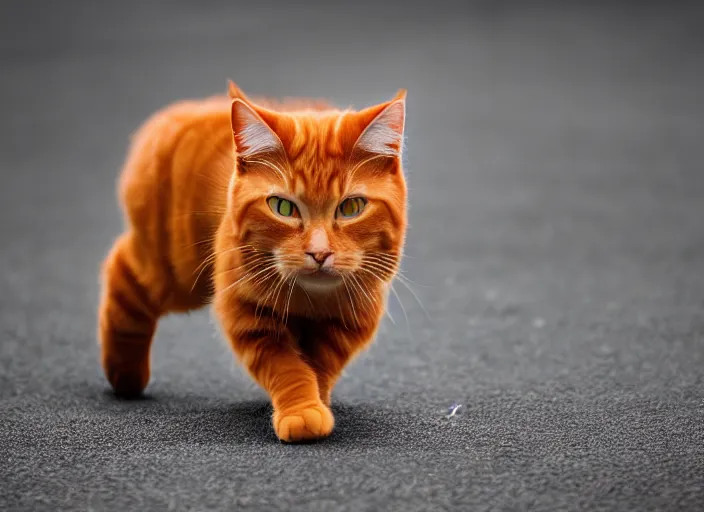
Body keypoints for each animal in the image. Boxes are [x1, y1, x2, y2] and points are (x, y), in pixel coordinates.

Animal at [98, 82, 408, 442]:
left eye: (351, 207)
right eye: (282, 207)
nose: (319, 252)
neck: (309, 299)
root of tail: (182, 112)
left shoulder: (347, 323)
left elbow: (319, 368)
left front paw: (318, 402)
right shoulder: (249, 316)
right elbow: (289, 369)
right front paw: (303, 411)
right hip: (175, 270)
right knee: (121, 268)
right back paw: (125, 376)